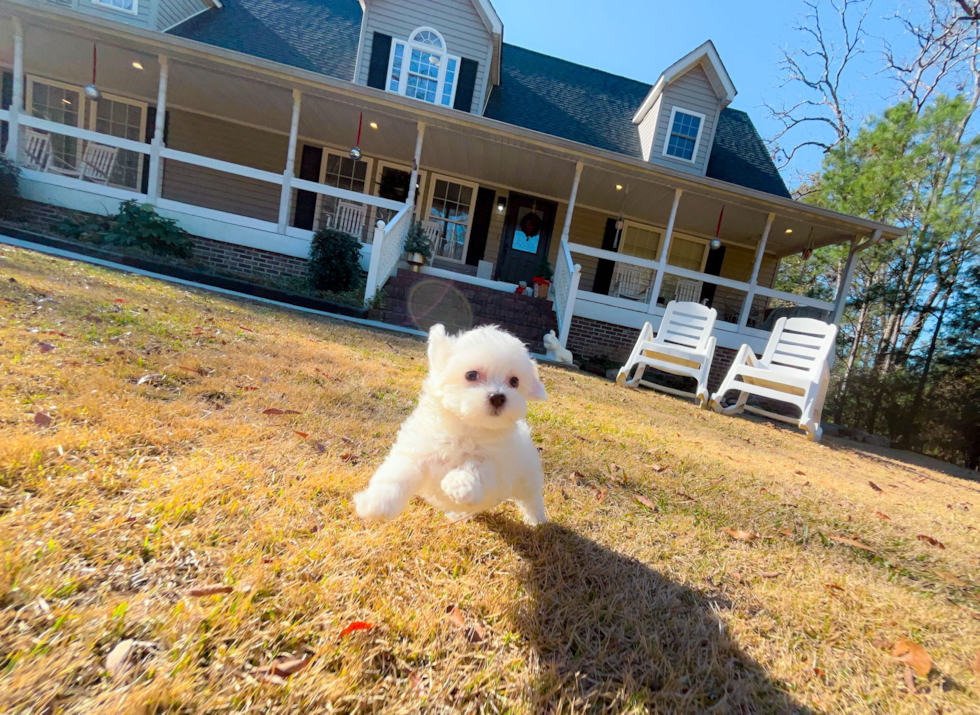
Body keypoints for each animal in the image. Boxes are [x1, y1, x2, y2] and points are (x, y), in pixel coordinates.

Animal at [354, 324, 552, 524]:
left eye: (514, 381)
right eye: (471, 375)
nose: (497, 397)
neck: (466, 426)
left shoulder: (498, 467)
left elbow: (479, 466)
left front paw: (459, 482)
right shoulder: (417, 451)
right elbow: (397, 473)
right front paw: (376, 503)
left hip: (527, 476)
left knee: (531, 497)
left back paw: (536, 519)